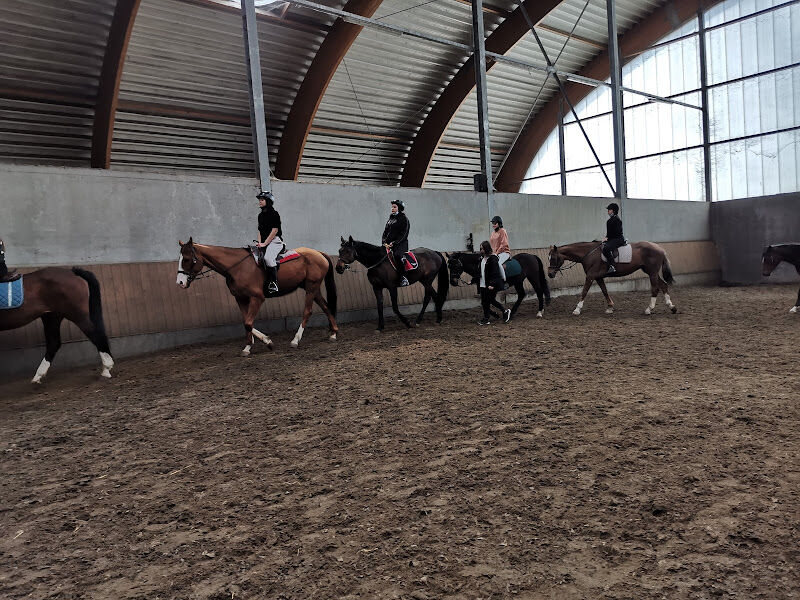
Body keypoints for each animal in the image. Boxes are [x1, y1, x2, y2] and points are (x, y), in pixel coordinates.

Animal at [175, 237, 338, 354]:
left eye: (187, 259)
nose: (180, 282)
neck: (237, 267)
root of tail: (319, 253)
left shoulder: (257, 298)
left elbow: (248, 323)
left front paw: (267, 342)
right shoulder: (240, 298)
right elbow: (246, 322)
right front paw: (248, 347)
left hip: (311, 288)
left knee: (307, 311)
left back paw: (295, 340)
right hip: (313, 289)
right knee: (326, 306)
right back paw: (333, 333)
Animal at [548, 240, 680, 316]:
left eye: (553, 258)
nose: (550, 274)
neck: (588, 253)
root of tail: (660, 248)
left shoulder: (590, 276)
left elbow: (584, 291)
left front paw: (577, 309)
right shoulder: (598, 277)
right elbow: (604, 291)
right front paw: (610, 307)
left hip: (652, 272)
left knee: (655, 288)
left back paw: (649, 309)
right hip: (651, 272)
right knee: (663, 285)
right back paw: (672, 307)